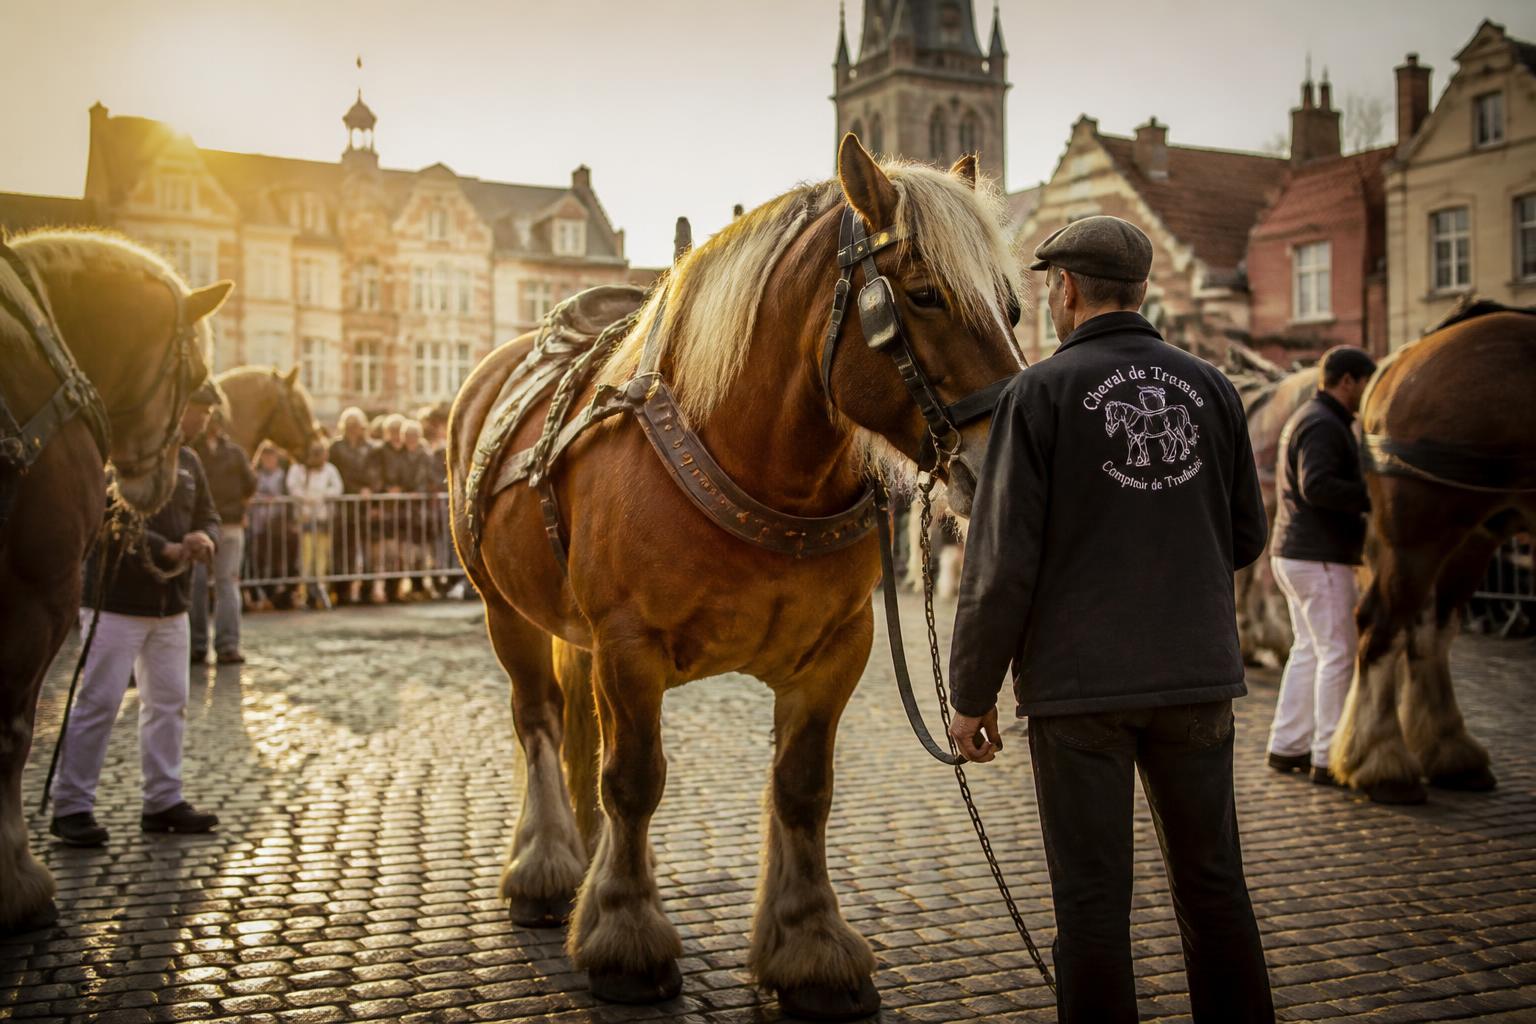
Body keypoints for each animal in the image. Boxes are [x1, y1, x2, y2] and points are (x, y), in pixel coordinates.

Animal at [447, 136, 1022, 1019]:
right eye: (925, 294)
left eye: (1013, 307)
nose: (1009, 458)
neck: (754, 462)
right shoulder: (629, 649)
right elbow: (635, 781)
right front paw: (625, 937)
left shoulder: (835, 653)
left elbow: (802, 789)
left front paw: (811, 947)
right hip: (504, 611)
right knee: (538, 719)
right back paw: (547, 868)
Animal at [1330, 308, 1536, 804]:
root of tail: (1404, 356)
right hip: (1423, 532)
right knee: (1383, 625)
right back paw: (1381, 761)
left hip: (1474, 534)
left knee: (1429, 629)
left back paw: (1448, 751)